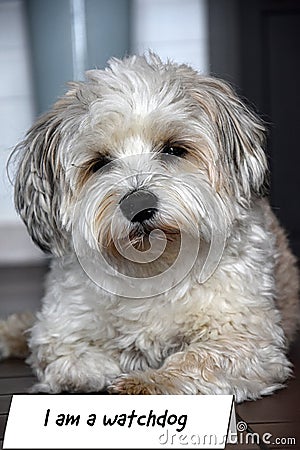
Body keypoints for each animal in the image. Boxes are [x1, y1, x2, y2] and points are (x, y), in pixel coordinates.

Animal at [0, 52, 300, 400]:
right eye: (100, 162)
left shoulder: (247, 340)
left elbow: (198, 358)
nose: (138, 204)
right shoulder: (58, 329)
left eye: (173, 149)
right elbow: (66, 355)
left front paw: (145, 380)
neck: (152, 268)